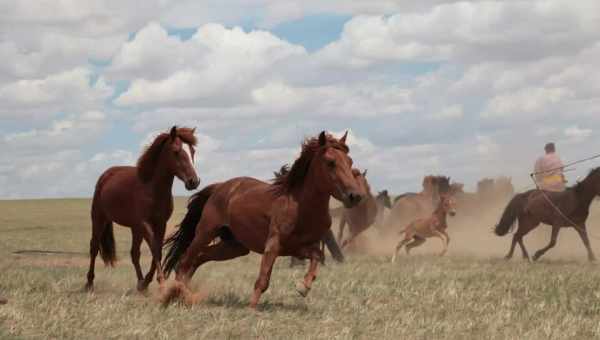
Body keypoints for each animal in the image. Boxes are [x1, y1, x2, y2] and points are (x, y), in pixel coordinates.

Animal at [85, 126, 200, 290]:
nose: (194, 182)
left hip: (135, 228)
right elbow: (155, 250)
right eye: (176, 151)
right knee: (94, 248)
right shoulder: (145, 223)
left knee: (134, 253)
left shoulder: (160, 223)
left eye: (193, 151)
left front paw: (147, 282)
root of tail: (106, 175)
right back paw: (89, 283)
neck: (151, 188)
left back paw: (140, 284)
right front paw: (161, 282)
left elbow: (157, 250)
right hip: (99, 219)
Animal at [162, 131, 364, 310]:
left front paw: (303, 288)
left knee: (199, 258)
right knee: (185, 261)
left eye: (350, 162)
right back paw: (175, 294)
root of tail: (219, 187)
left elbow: (317, 256)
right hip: (205, 232)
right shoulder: (273, 245)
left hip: (235, 247)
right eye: (331, 162)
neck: (301, 207)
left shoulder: (298, 248)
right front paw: (251, 309)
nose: (355, 196)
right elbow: (263, 279)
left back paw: (183, 294)